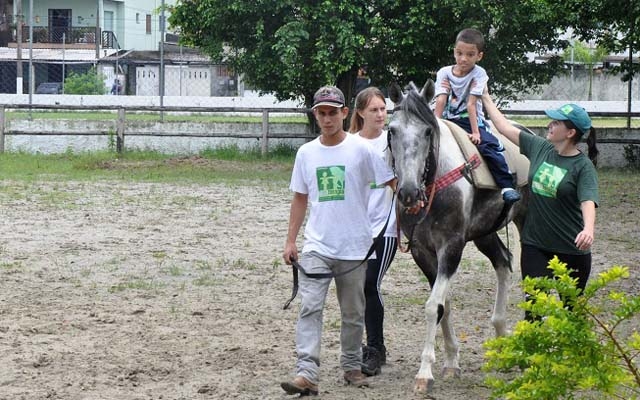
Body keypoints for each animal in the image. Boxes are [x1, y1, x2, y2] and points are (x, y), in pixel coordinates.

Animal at [388, 81, 528, 394]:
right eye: (391, 130)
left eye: (427, 132)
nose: (408, 192)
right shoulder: (423, 252)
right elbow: (444, 304)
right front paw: (451, 362)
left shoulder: (451, 247)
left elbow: (433, 306)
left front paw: (424, 373)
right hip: (484, 233)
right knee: (504, 262)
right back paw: (501, 338)